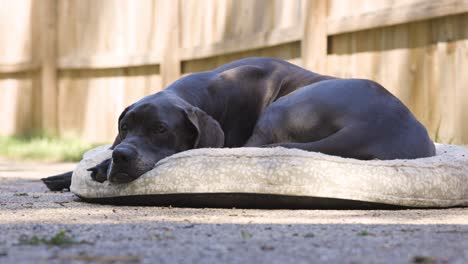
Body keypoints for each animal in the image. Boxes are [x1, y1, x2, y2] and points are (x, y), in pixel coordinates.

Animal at [43, 57, 436, 190]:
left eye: (160, 130)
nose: (122, 154)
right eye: (125, 127)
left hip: (283, 107)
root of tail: (380, 127)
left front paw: (98, 166)